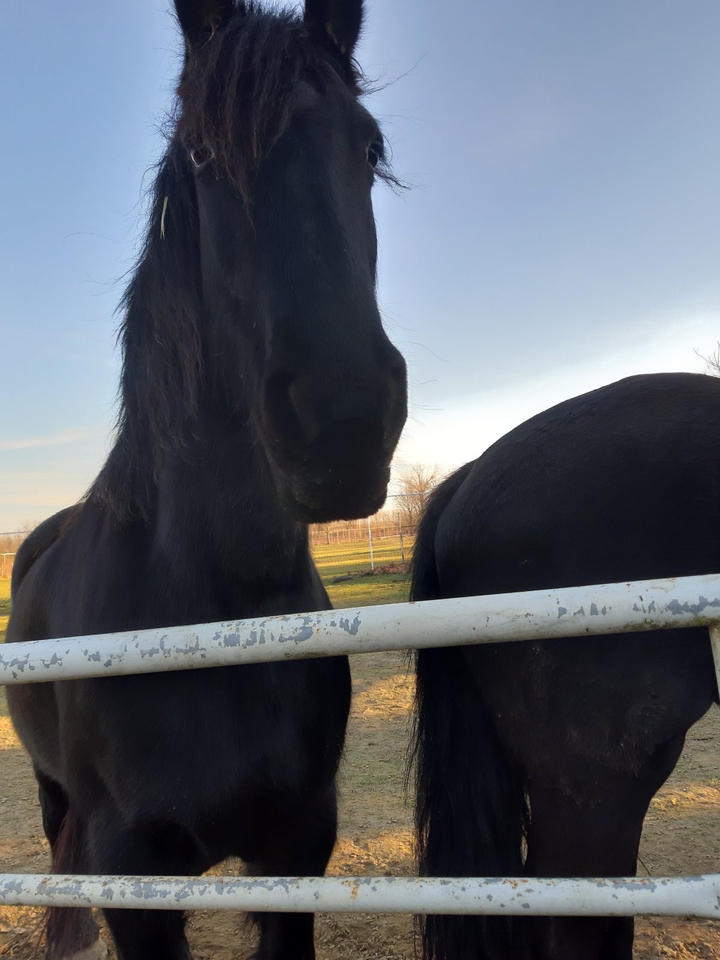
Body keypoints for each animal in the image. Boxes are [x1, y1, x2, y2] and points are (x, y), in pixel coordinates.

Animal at [6, 2, 407, 958]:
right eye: (200, 155)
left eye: (369, 146)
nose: (342, 423)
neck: (220, 612)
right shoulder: (131, 879)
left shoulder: (298, 851)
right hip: (51, 795)